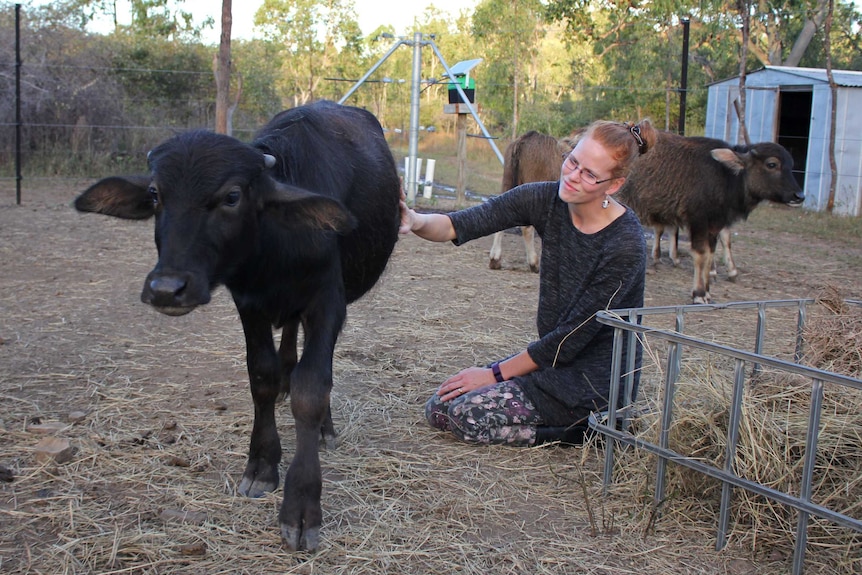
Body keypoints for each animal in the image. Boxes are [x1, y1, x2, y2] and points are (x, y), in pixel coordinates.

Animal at [72, 100, 404, 552]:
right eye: (156, 194)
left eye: (232, 196)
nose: (166, 288)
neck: (276, 248)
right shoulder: (250, 303)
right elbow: (261, 376)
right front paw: (262, 466)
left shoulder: (328, 302)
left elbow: (312, 387)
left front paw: (301, 505)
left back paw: (325, 428)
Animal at [616, 134, 808, 306]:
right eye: (772, 164)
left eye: (791, 166)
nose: (799, 196)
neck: (726, 177)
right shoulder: (698, 221)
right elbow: (701, 255)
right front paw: (699, 294)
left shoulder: (714, 225)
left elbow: (711, 254)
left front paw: (708, 291)